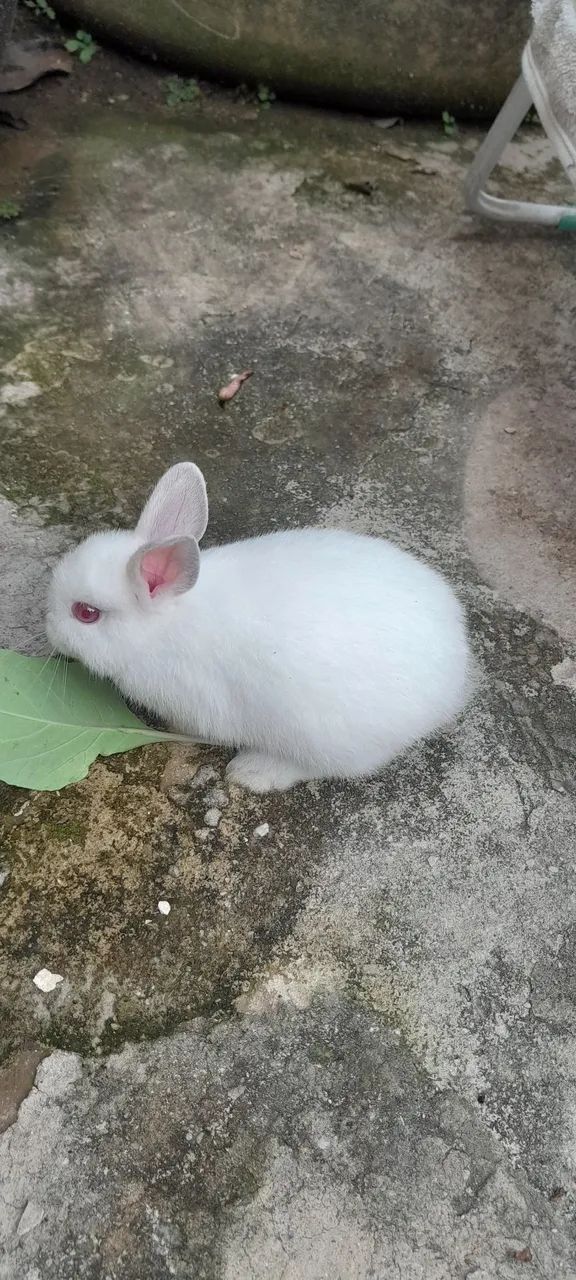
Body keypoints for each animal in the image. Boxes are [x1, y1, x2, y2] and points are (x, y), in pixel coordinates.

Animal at [46, 462, 473, 793]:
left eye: (86, 613)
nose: (48, 628)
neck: (165, 623)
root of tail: (456, 673)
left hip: (322, 735)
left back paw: (252, 771)